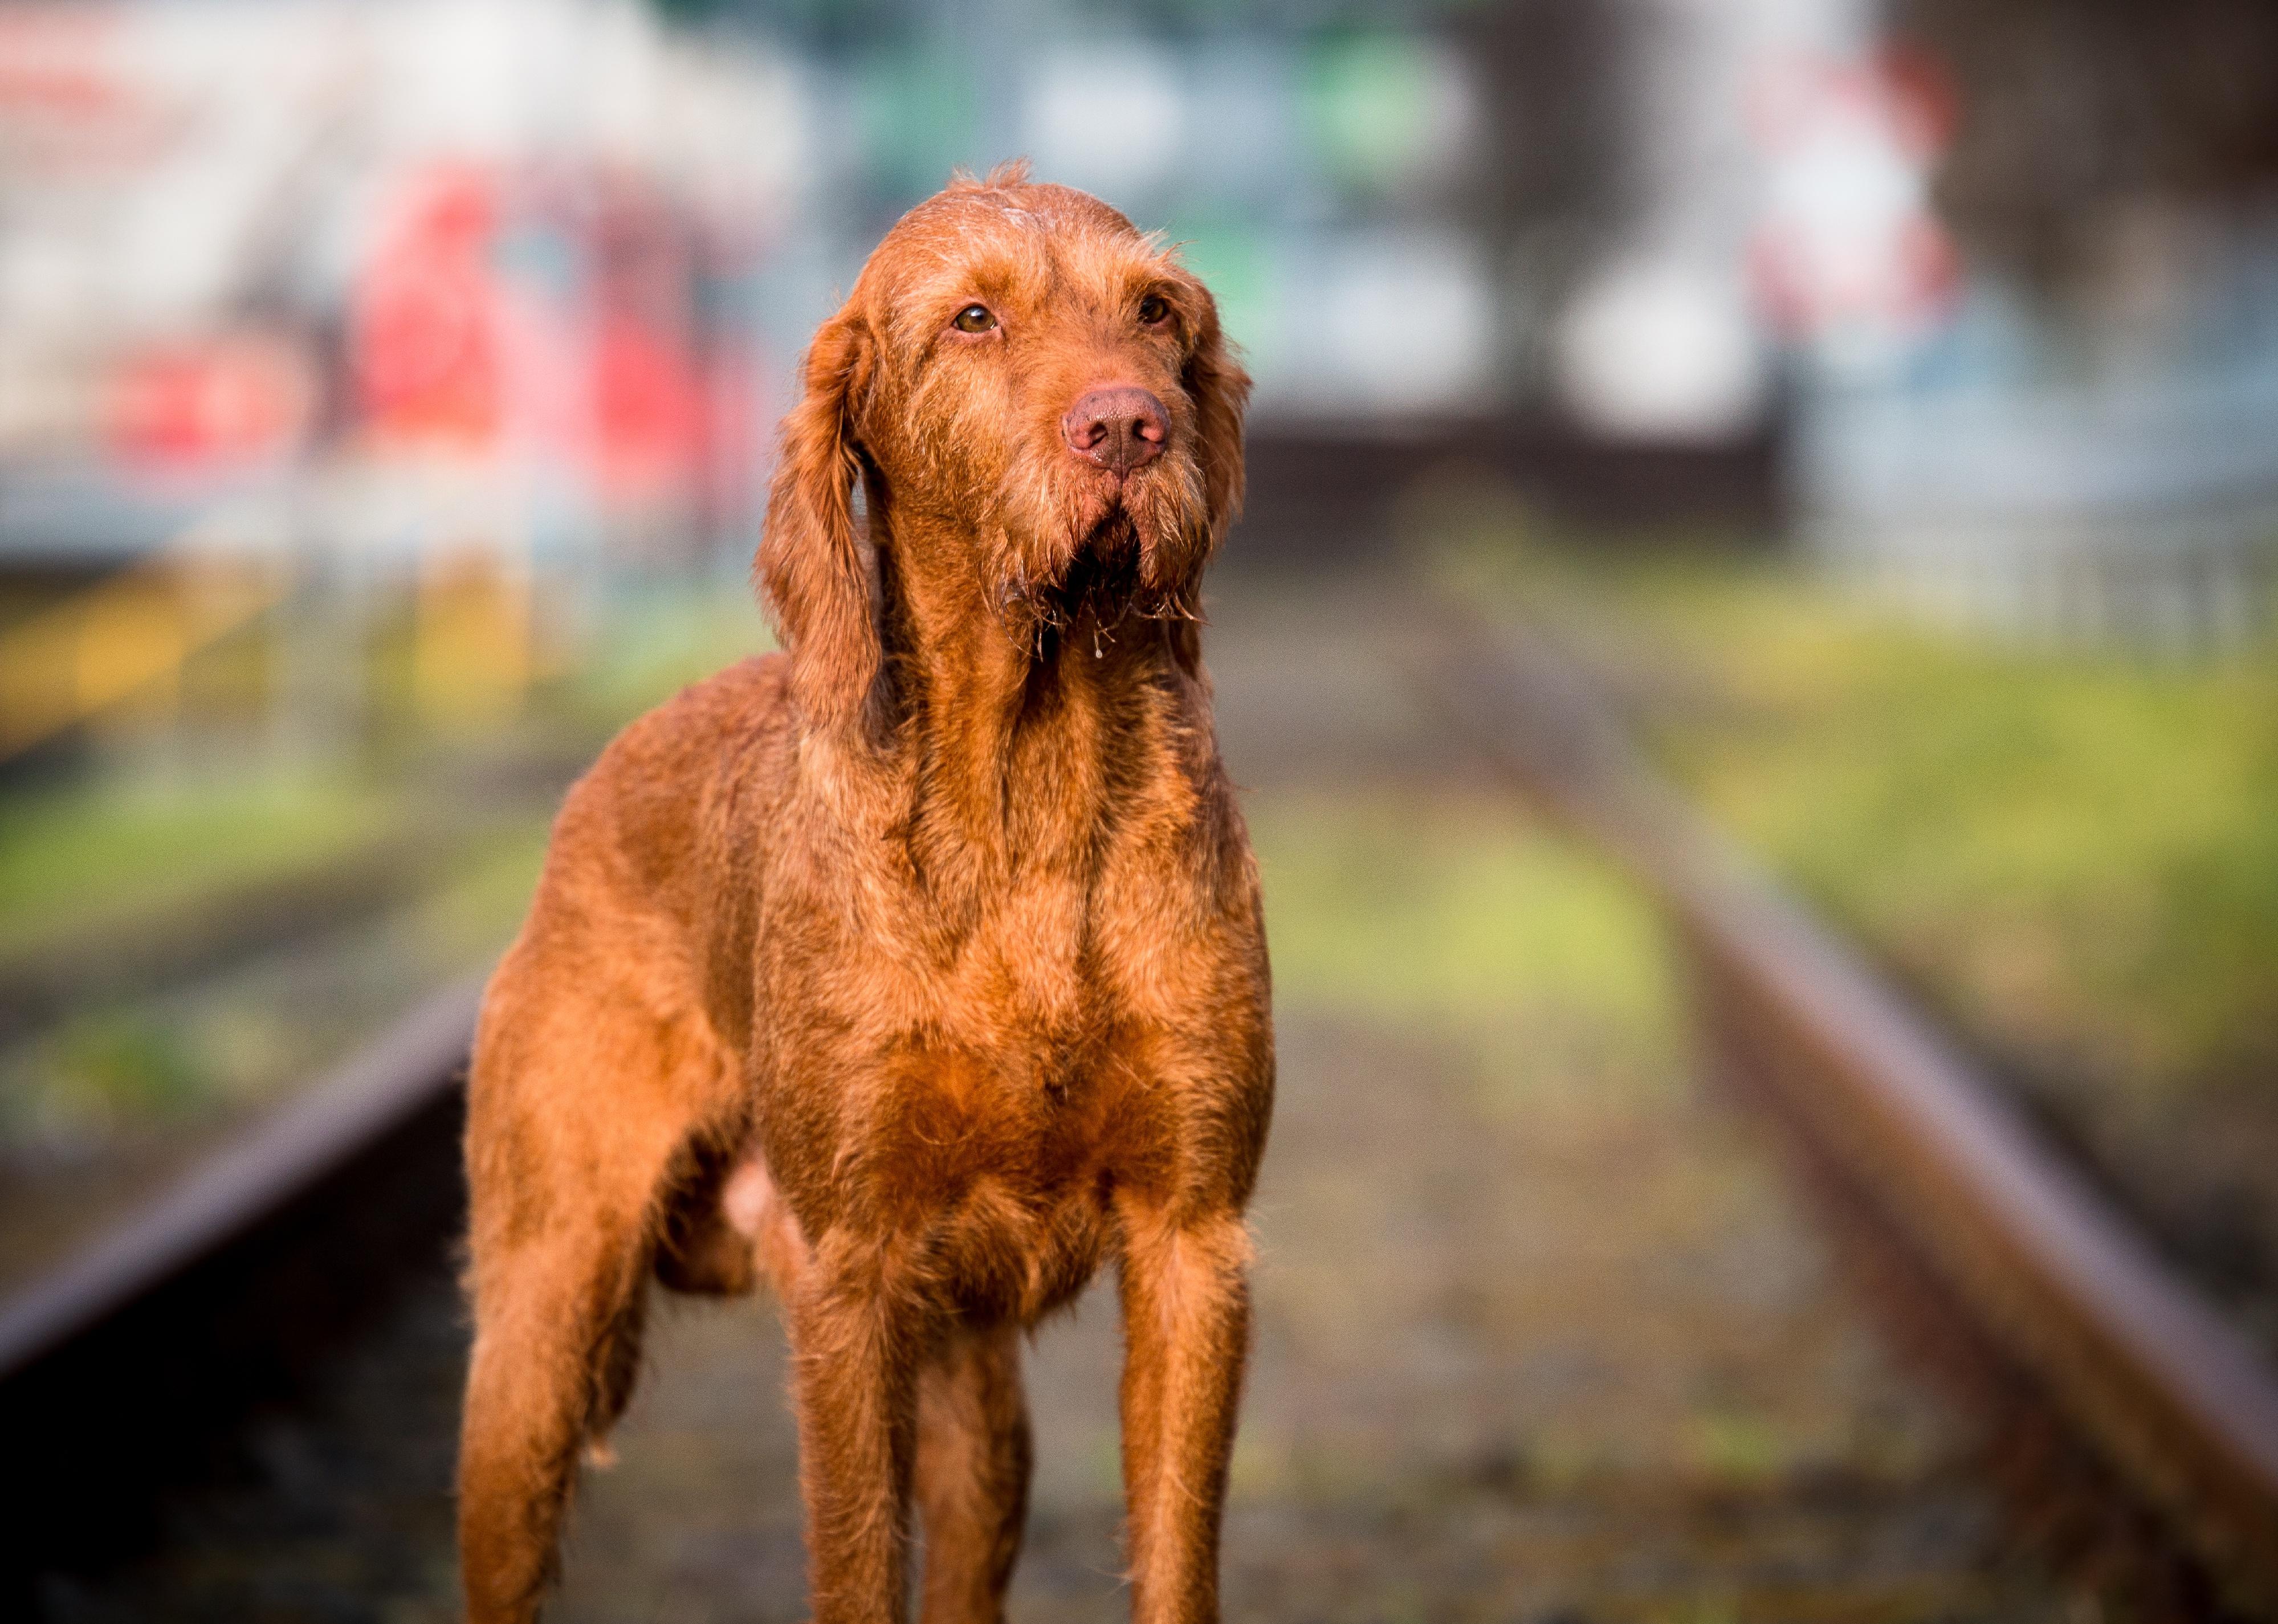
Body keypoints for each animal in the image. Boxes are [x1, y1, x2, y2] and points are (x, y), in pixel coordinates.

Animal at [453, 167, 1275, 1622]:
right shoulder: (853, 1268)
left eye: (1157, 311)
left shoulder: (1194, 1240)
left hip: (977, 1407)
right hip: (541, 1331)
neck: (1033, 781)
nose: (1130, 425)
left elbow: (1176, 1557)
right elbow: (853, 1562)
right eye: (971, 317)